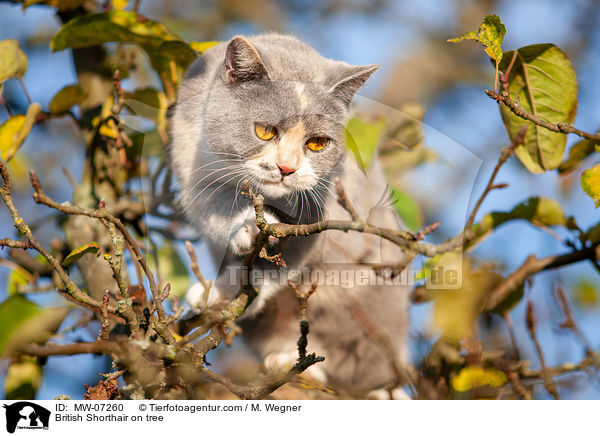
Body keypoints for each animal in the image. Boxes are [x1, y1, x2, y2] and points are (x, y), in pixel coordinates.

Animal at [171, 35, 410, 398]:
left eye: (318, 143)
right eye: (264, 131)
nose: (286, 168)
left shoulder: (328, 204)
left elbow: (292, 252)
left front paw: (234, 287)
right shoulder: (193, 166)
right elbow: (216, 206)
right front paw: (244, 235)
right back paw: (284, 360)